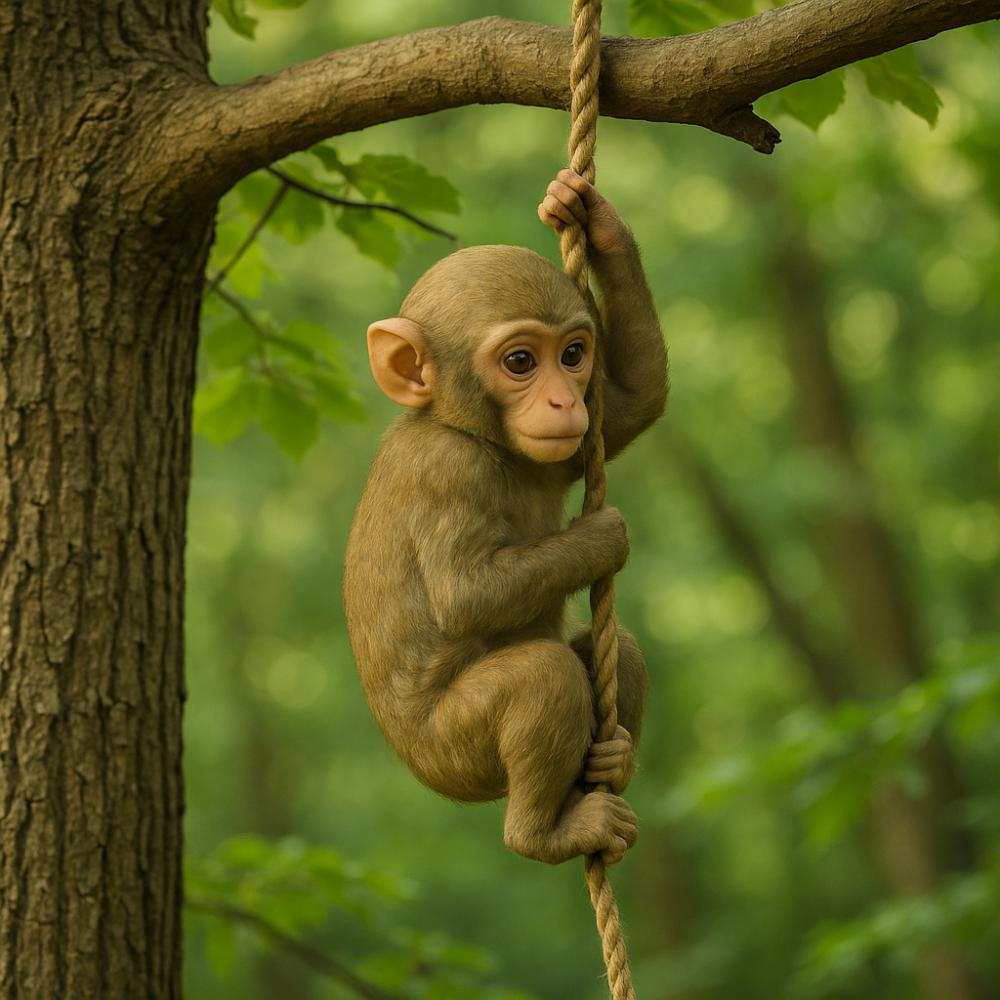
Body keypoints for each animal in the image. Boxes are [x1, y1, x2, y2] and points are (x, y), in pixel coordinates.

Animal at [343, 169, 667, 865]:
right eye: (521, 362)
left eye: (573, 354)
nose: (564, 400)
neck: (472, 431)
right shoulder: (448, 469)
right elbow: (465, 593)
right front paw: (603, 536)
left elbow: (636, 400)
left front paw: (590, 216)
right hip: (455, 750)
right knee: (541, 677)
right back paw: (547, 832)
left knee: (615, 649)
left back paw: (611, 762)